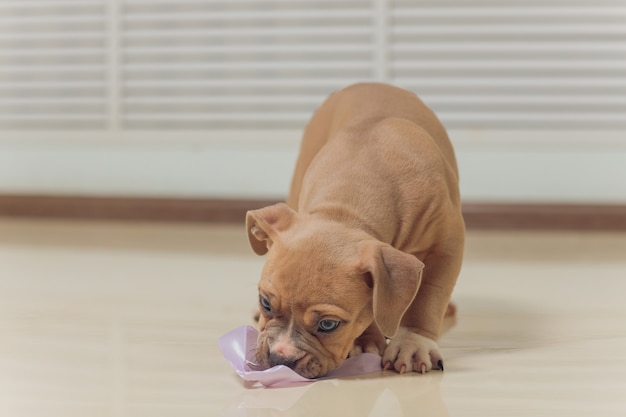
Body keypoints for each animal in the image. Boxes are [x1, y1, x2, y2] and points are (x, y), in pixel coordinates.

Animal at [244, 82, 464, 376]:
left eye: (328, 325)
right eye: (266, 302)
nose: (281, 358)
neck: (347, 208)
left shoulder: (446, 246)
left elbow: (428, 297)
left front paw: (413, 344)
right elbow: (374, 306)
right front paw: (364, 340)